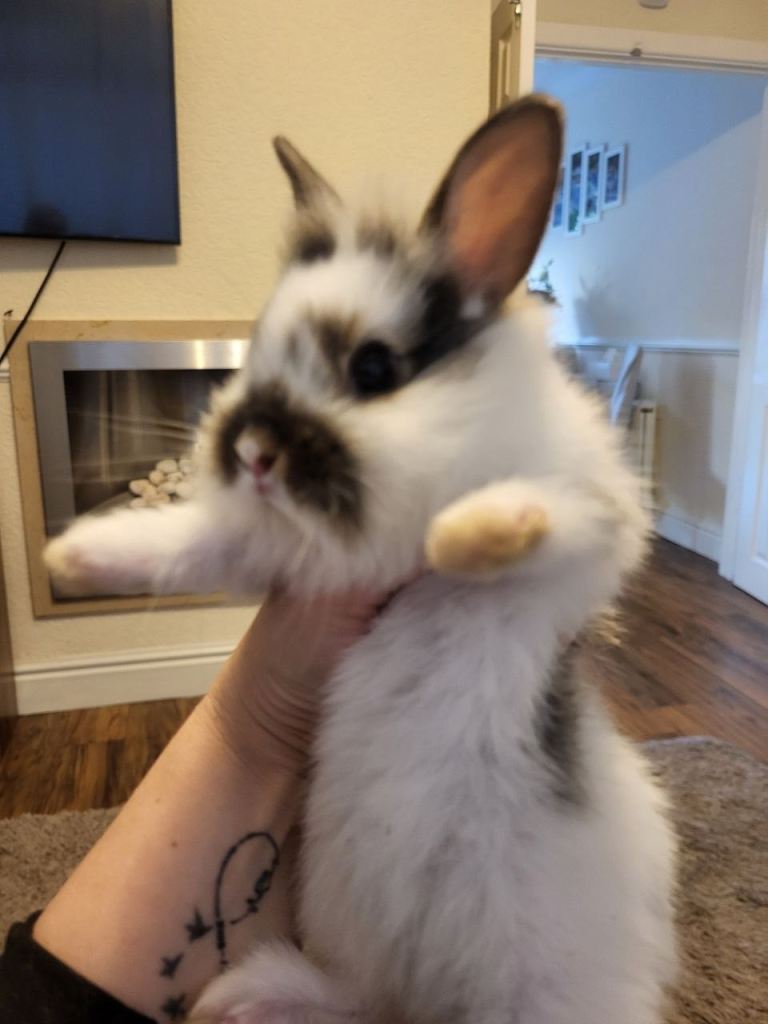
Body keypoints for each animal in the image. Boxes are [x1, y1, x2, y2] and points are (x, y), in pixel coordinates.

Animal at [44, 95, 676, 1024]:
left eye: (374, 367)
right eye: (257, 355)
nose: (254, 453)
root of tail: (419, 1005)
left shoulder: (596, 519)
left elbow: (548, 514)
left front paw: (466, 537)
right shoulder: (271, 552)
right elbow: (194, 543)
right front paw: (77, 555)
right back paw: (240, 993)